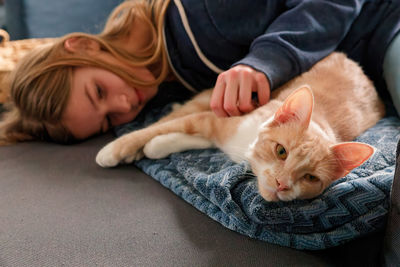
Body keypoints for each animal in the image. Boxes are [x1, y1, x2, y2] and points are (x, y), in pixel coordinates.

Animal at [96, 52, 384, 202]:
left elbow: (190, 137)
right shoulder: (220, 119)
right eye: (281, 151)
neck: (245, 149)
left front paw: (156, 146)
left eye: (311, 178)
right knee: (183, 110)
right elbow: (160, 128)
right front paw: (115, 149)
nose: (281, 184)